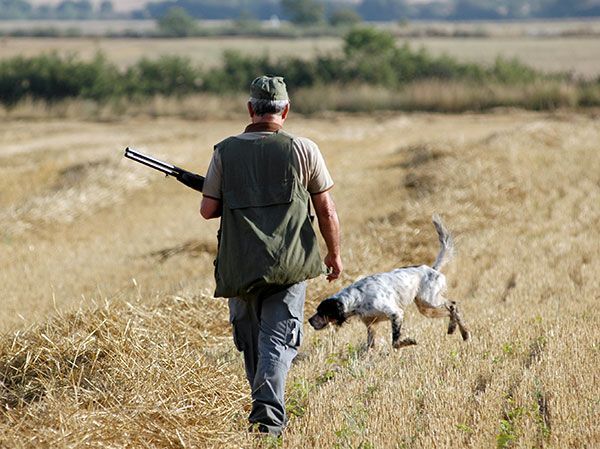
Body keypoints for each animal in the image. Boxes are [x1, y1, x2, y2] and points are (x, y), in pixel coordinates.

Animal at [310, 215, 468, 348]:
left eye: (322, 311)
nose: (309, 321)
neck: (357, 298)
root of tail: (432, 269)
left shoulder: (395, 313)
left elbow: (395, 342)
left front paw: (408, 342)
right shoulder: (371, 325)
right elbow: (370, 346)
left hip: (429, 301)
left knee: (453, 305)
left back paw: (461, 331)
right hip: (426, 309)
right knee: (450, 310)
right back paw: (458, 331)